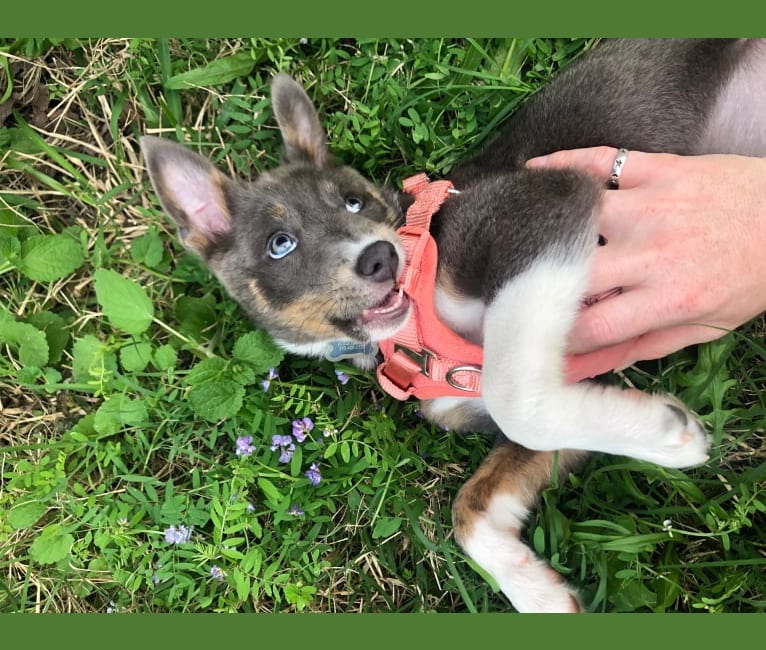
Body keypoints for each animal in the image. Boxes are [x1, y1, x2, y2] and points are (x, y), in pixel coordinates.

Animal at [142, 39, 766, 608]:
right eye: (280, 244)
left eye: (352, 202)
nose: (380, 258)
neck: (412, 323)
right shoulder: (546, 388)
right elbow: (473, 505)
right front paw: (536, 591)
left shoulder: (544, 203)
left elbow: (518, 400)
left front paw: (668, 437)